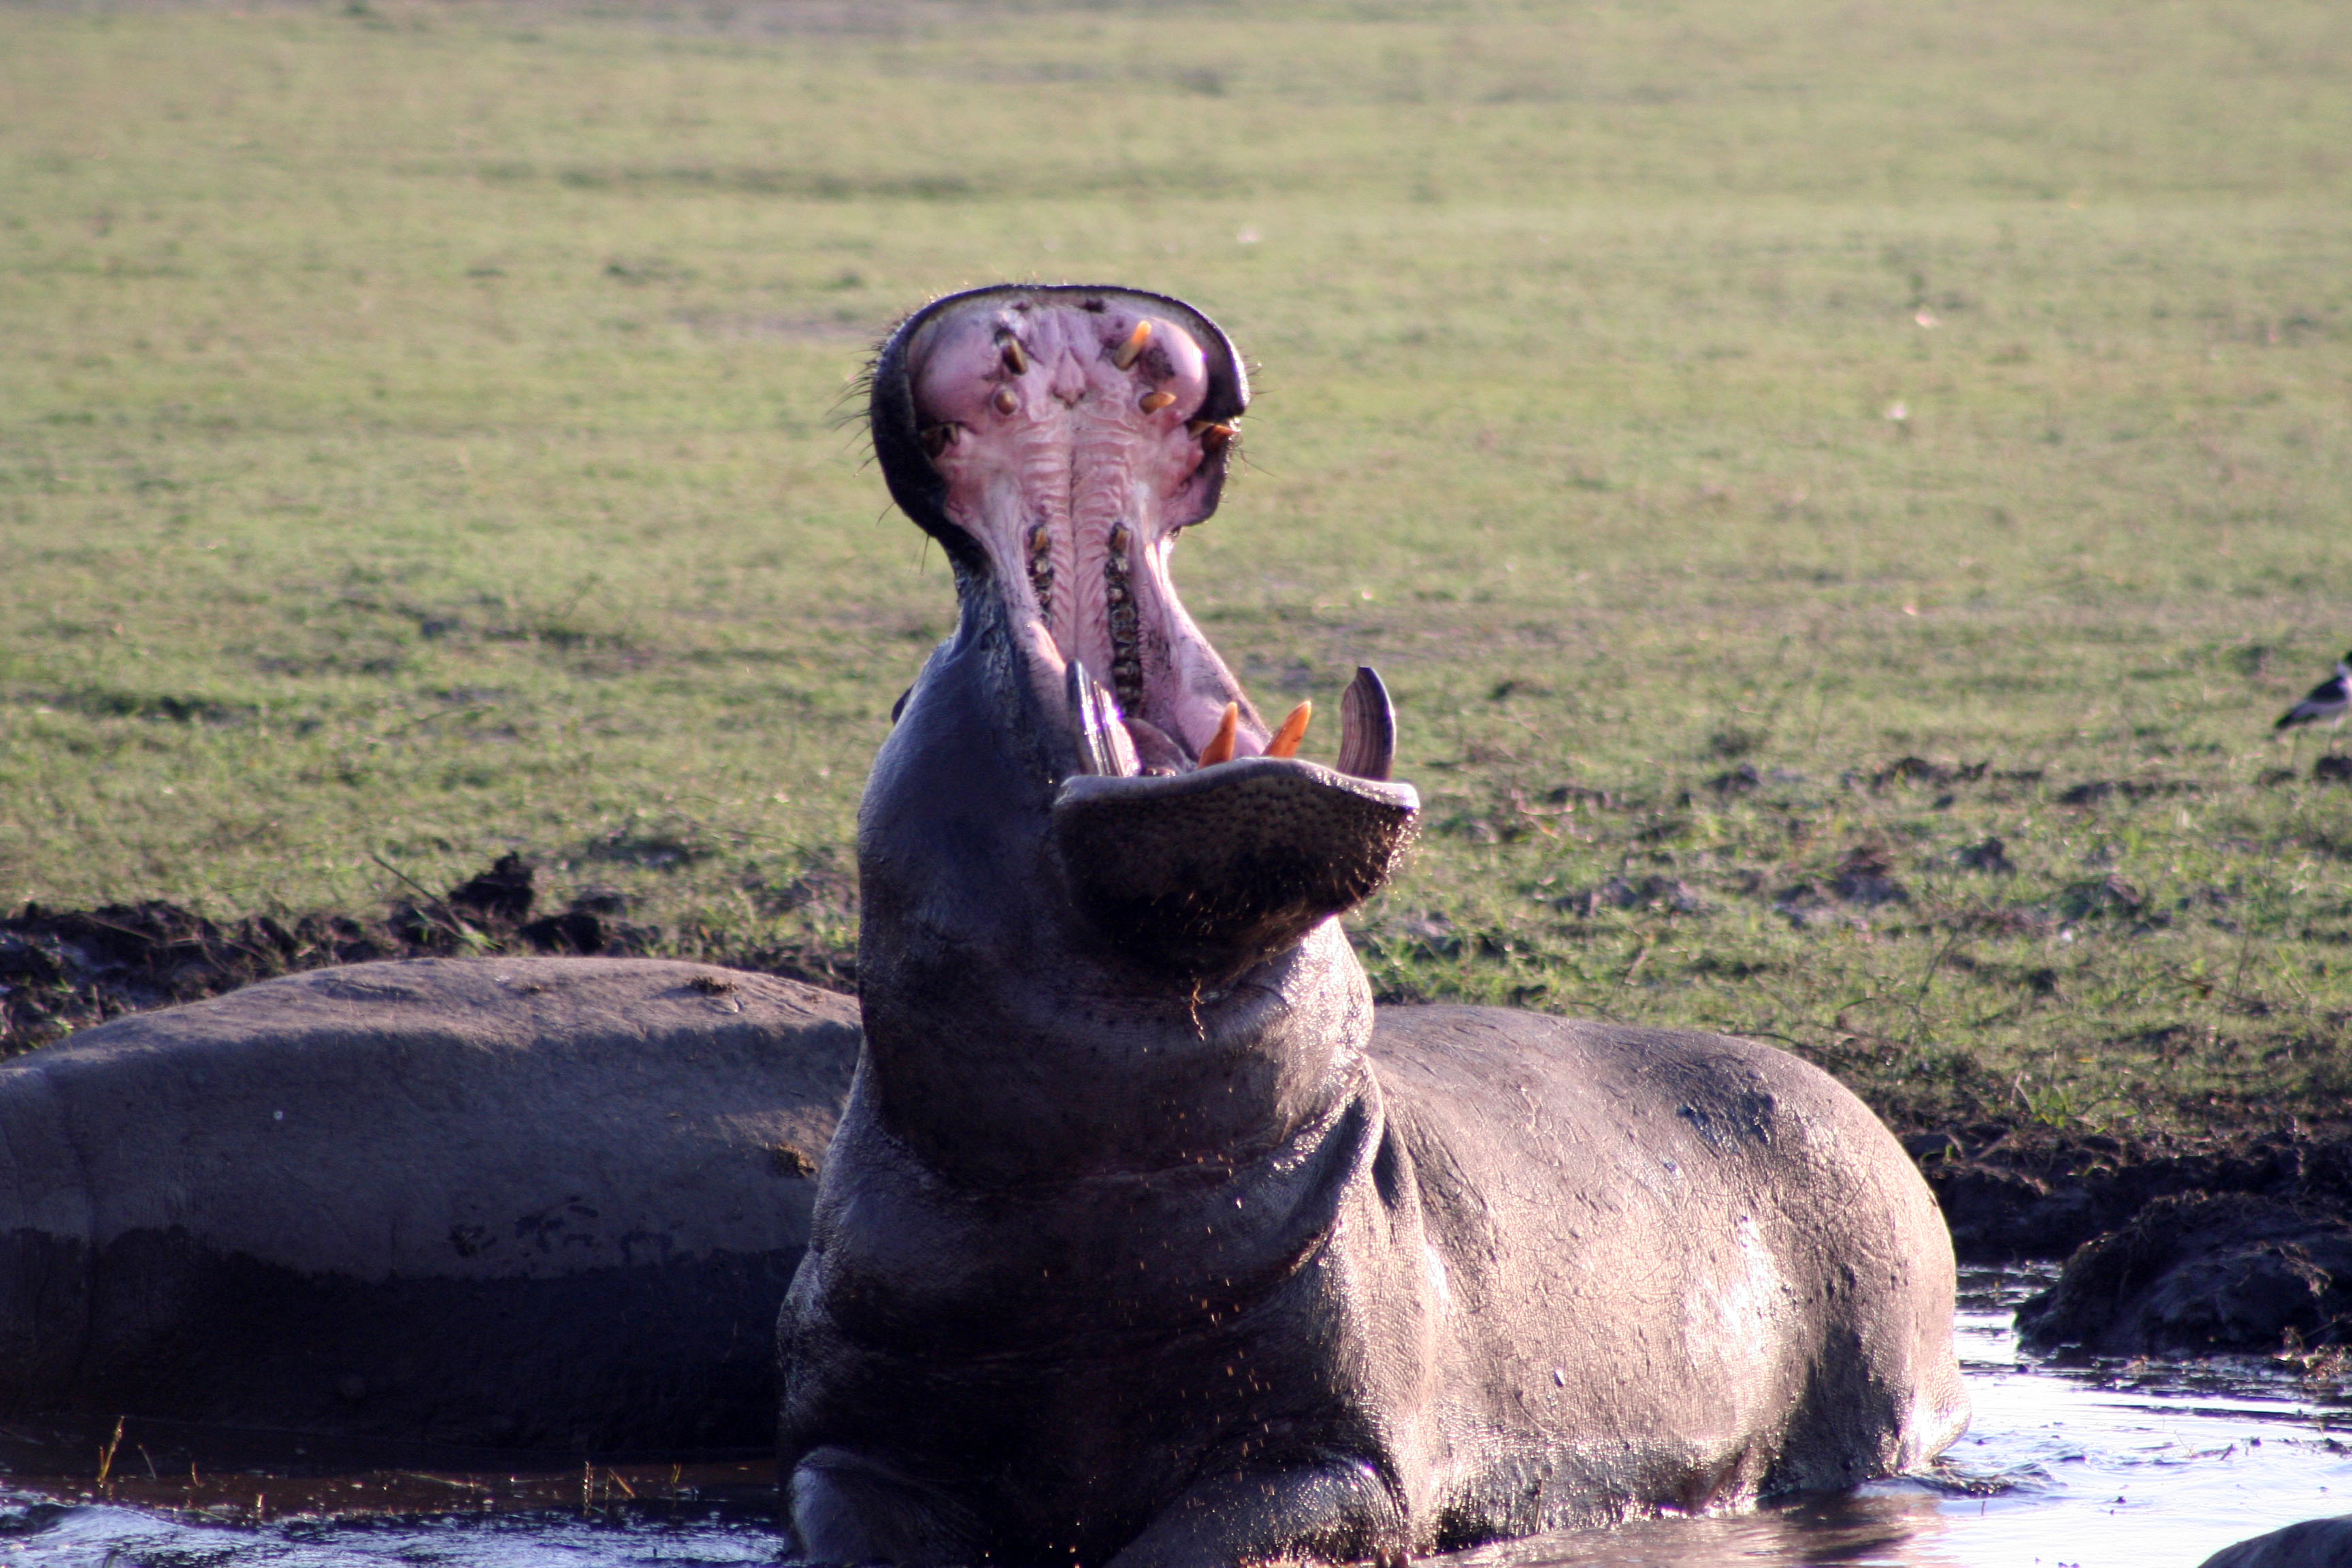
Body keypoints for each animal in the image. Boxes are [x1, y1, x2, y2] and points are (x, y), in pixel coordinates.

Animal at [776, 284, 1970, 1566]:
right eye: (908, 690)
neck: (1099, 1187)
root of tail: (1855, 1100)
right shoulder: (848, 1445)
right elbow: (846, 1507)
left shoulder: (1335, 1455)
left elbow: (1208, 1536)